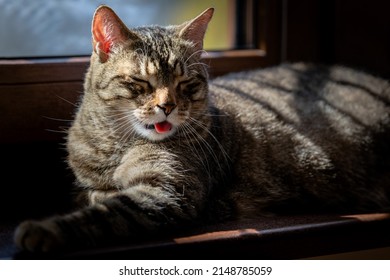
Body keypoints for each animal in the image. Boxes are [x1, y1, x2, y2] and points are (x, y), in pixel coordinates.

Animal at [14, 4, 390, 254]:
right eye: (141, 83)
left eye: (186, 83)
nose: (167, 106)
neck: (117, 145)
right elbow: (91, 194)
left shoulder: (167, 193)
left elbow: (105, 213)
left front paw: (44, 231)